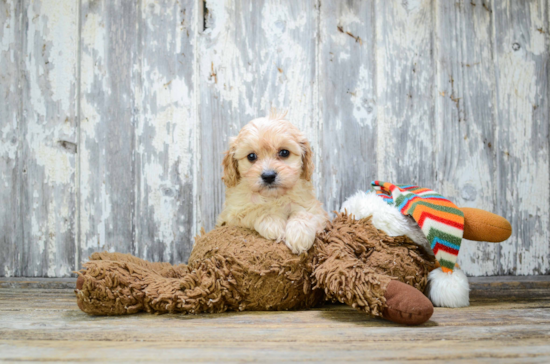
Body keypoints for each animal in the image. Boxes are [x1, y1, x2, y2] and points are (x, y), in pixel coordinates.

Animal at [218, 115, 330, 255]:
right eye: (251, 156)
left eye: (284, 153)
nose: (269, 176)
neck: (274, 196)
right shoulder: (232, 215)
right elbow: (256, 210)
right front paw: (273, 223)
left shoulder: (316, 209)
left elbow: (304, 213)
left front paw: (299, 234)